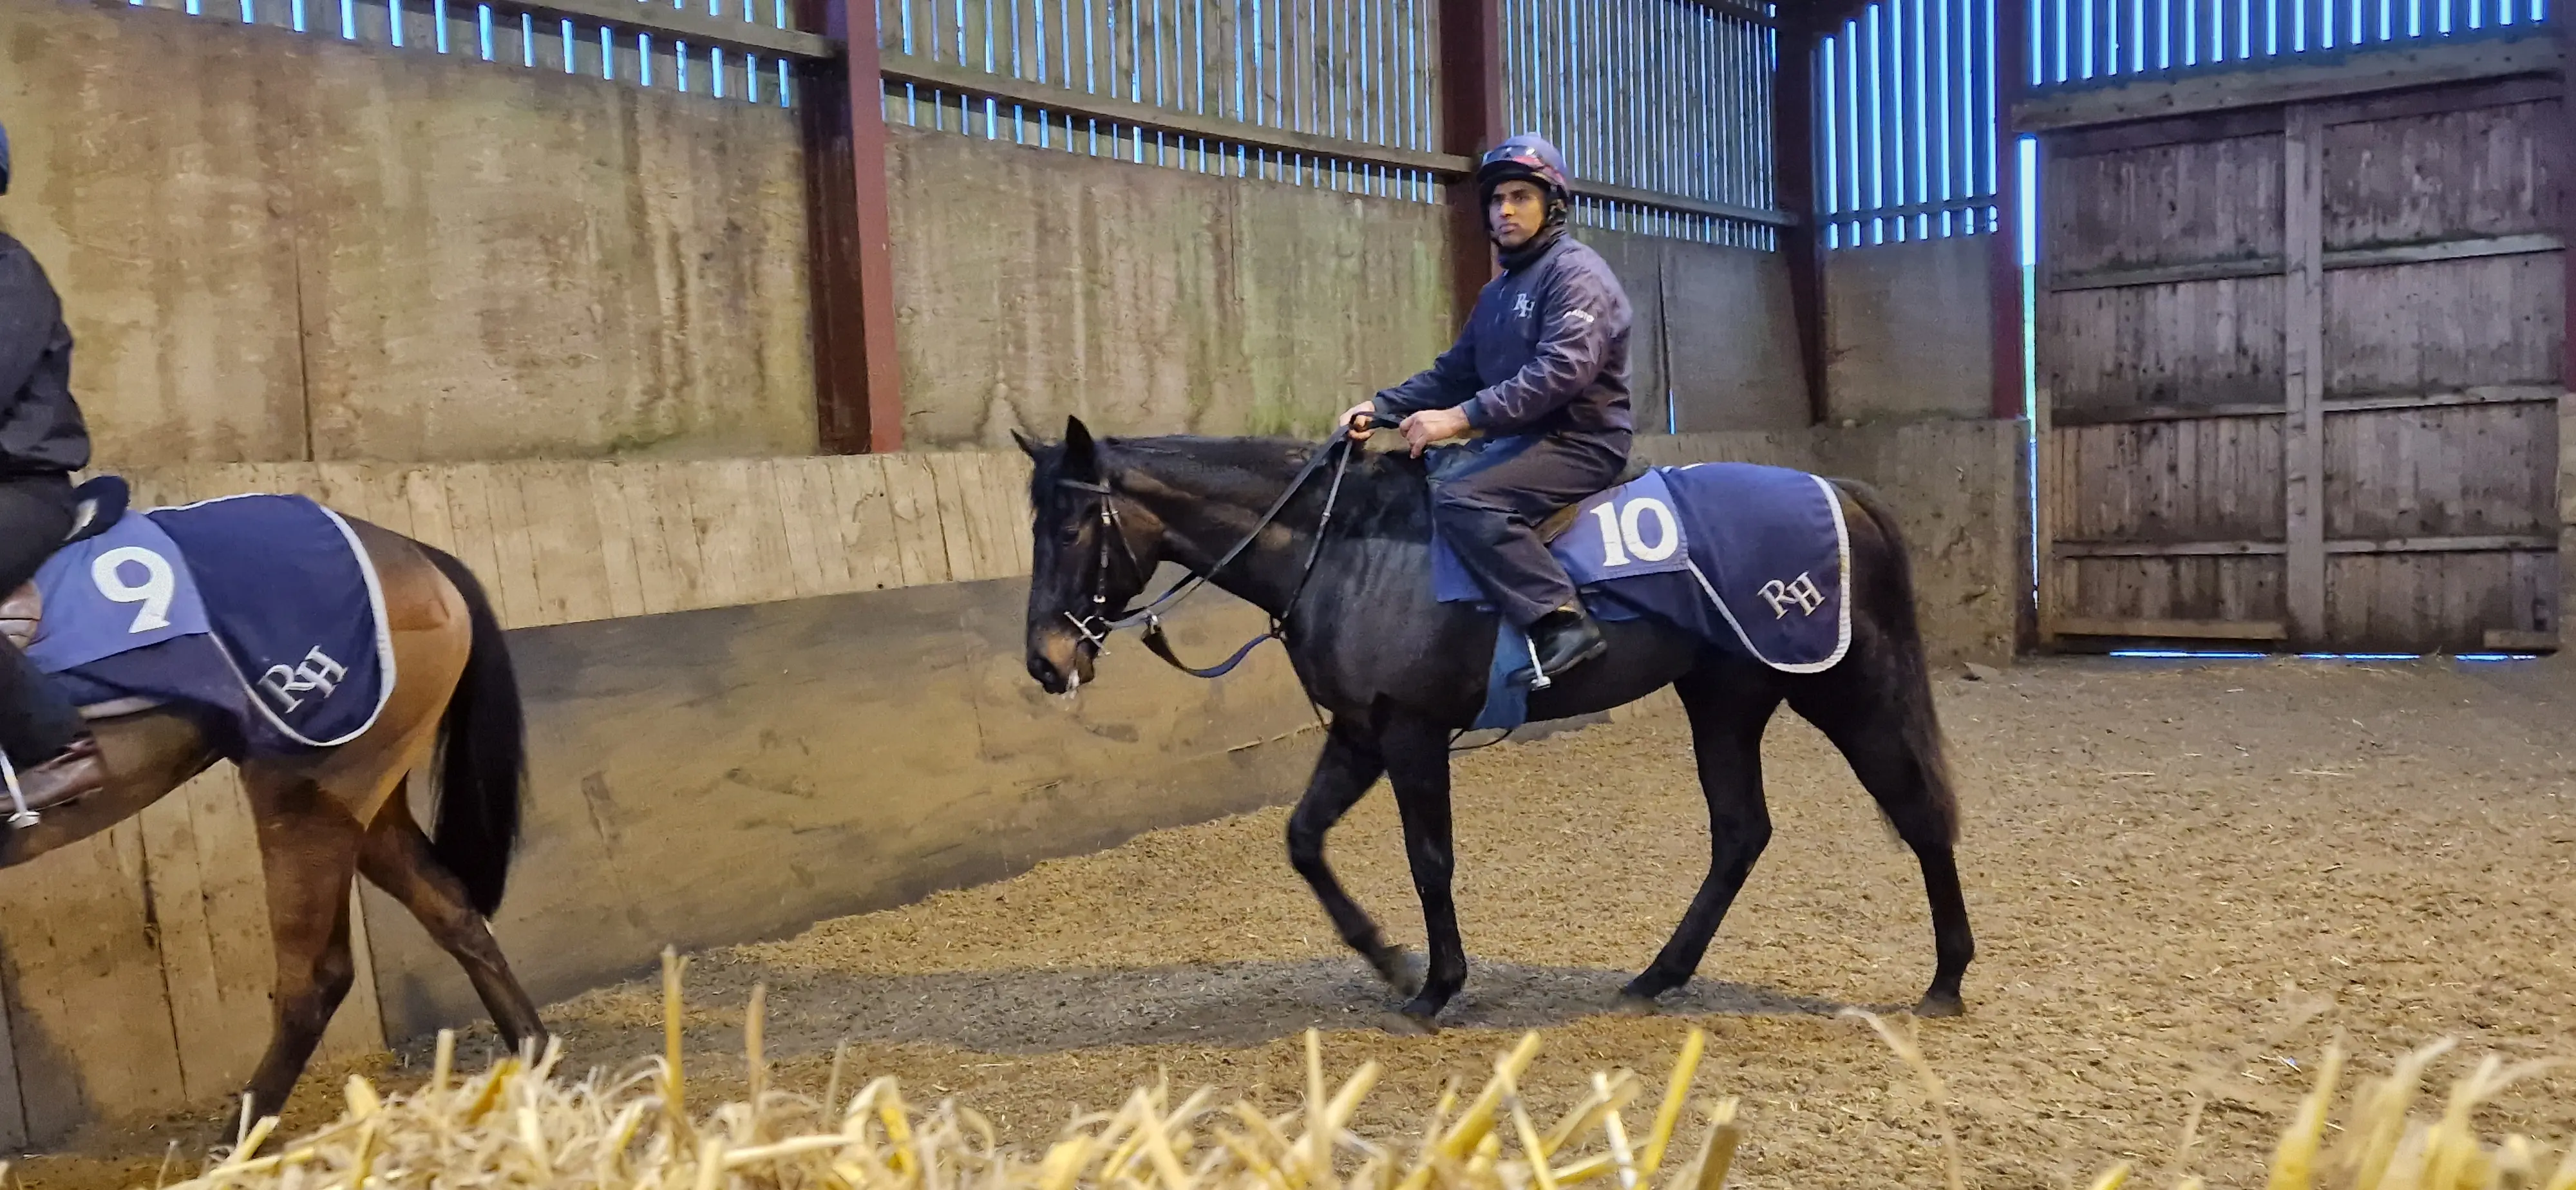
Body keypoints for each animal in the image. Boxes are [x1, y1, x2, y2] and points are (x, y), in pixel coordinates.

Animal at [0, 510, 538, 1123]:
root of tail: (417, 554)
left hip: (304, 794)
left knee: (316, 978)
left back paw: (243, 1137)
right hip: (367, 803)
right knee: (454, 913)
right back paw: (533, 1060)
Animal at [1015, 420, 1978, 1030]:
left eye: (1072, 526)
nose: (1044, 661)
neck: (1352, 545)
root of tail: (1837, 491)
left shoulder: (1410, 733)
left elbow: (1429, 861)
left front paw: (1436, 987)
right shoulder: (1359, 732)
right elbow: (1303, 840)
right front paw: (1388, 959)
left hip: (1839, 687)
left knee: (1916, 811)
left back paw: (1947, 978)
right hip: (1723, 701)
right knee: (1742, 833)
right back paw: (1656, 977)